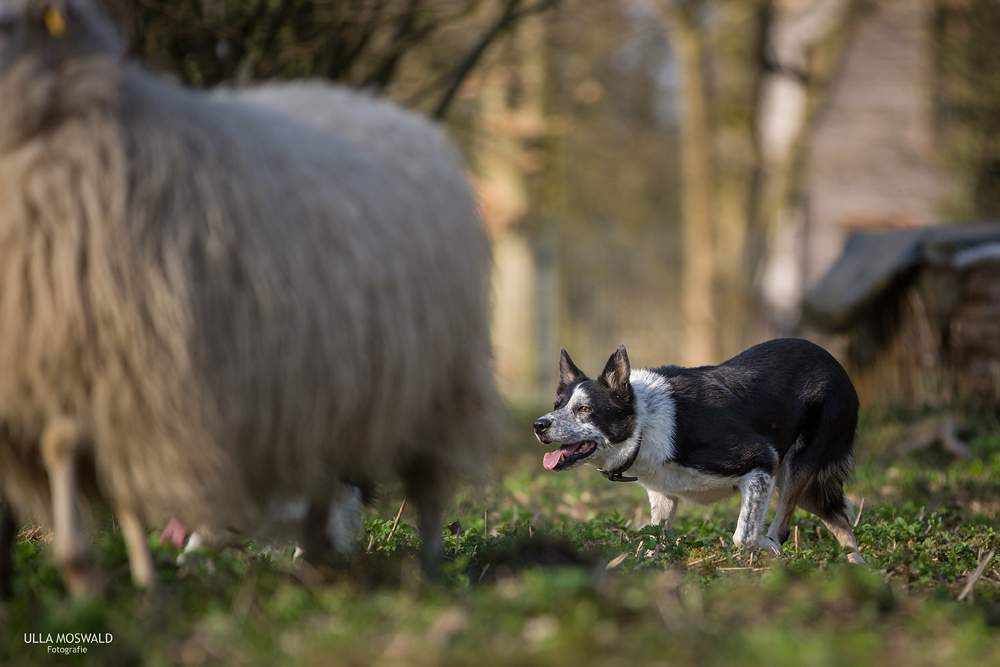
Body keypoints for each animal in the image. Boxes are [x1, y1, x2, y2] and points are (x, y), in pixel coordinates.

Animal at [536, 340, 864, 564]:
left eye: (585, 409)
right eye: (557, 406)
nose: (538, 425)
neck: (644, 423)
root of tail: (836, 364)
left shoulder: (761, 462)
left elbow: (743, 536)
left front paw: (764, 551)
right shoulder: (663, 495)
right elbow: (651, 539)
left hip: (797, 468)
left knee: (782, 528)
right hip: (799, 483)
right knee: (840, 522)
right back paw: (857, 571)